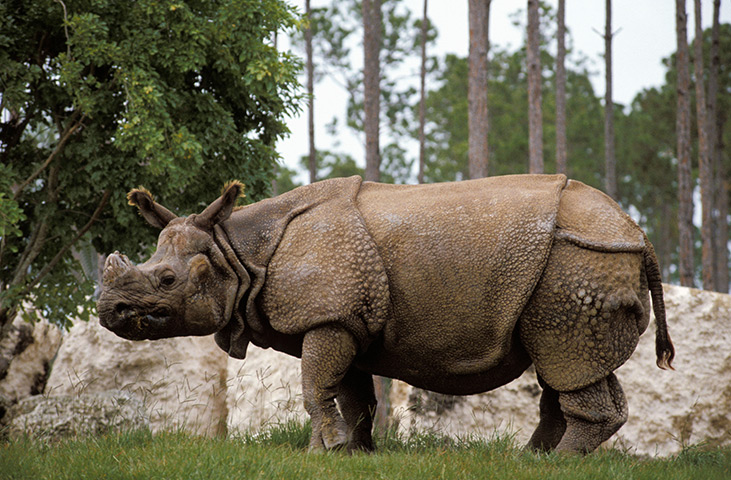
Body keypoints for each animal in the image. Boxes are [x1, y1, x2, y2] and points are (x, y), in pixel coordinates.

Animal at [98, 174, 674, 453]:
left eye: (166, 281)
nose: (108, 311)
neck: (237, 250)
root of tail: (638, 232)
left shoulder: (327, 316)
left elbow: (315, 386)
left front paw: (323, 453)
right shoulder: (345, 320)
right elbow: (350, 394)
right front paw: (351, 453)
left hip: (578, 259)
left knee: (564, 358)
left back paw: (553, 463)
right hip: (581, 262)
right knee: (571, 363)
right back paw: (532, 460)